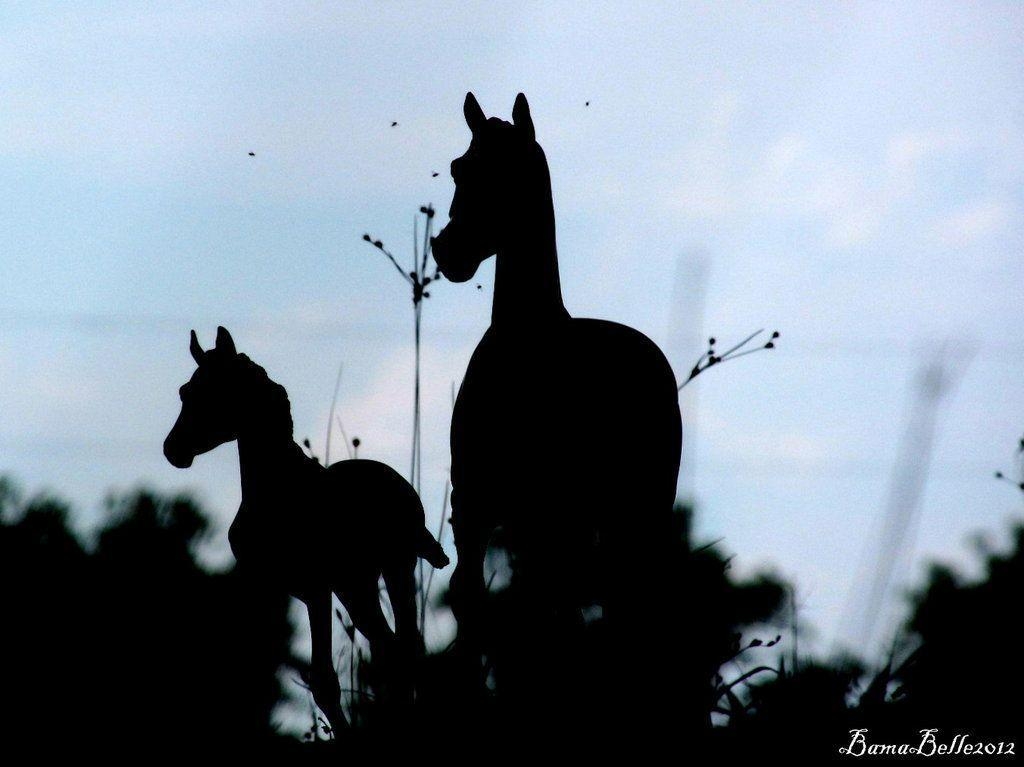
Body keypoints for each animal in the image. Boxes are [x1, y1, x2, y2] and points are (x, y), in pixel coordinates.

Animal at [161, 327, 446, 729]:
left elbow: (325, 680)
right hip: (356, 585)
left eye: (215, 390)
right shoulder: (273, 588)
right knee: (389, 645)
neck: (278, 490)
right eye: (185, 392)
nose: (174, 450)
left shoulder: (315, 588)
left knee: (404, 646)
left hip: (395, 568)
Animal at [432, 92, 688, 733]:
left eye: (510, 171)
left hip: (637, 511)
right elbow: (472, 600)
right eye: (458, 168)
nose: (448, 251)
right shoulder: (476, 503)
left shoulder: (546, 512)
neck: (529, 347)